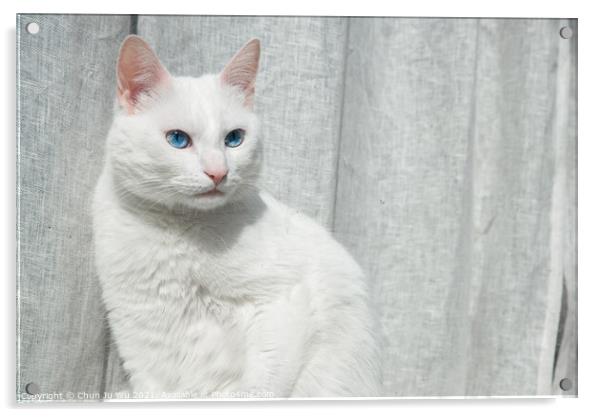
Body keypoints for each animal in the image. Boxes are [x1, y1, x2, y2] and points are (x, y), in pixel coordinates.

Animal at [91, 35, 378, 396]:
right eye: (177, 139)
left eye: (234, 139)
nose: (218, 172)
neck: (181, 232)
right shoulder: (137, 321)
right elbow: (153, 379)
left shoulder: (281, 299)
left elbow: (262, 385)